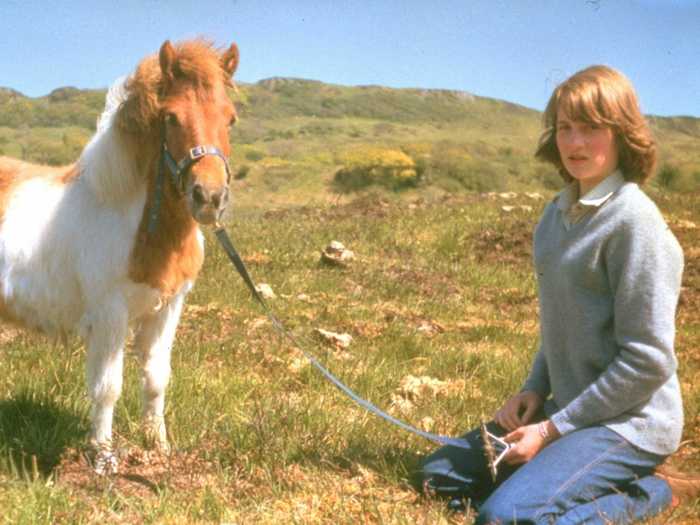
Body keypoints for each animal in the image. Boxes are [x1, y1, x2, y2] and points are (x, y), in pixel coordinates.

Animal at [0, 41, 239, 472]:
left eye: (230, 118)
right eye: (171, 117)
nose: (209, 197)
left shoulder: (168, 308)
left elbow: (157, 377)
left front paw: (158, 446)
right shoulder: (110, 313)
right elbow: (108, 387)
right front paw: (103, 455)